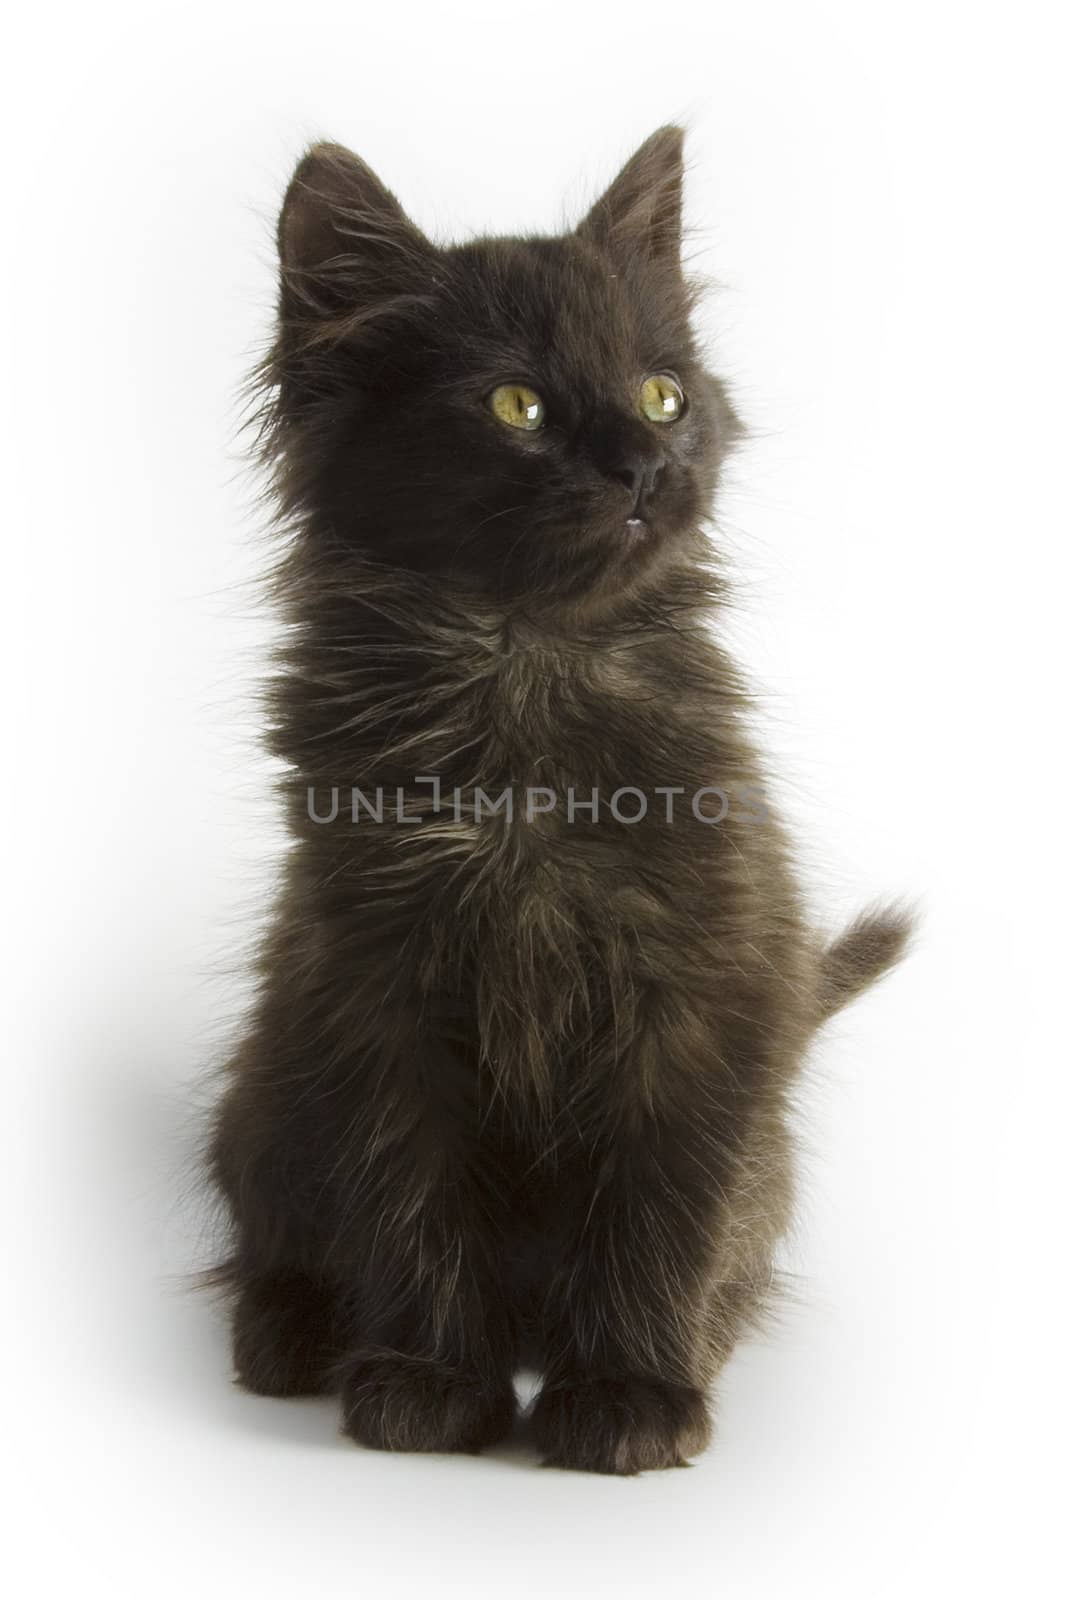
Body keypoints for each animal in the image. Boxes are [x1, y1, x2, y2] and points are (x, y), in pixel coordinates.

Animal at [207, 128, 908, 1472]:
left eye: (662, 394)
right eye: (515, 406)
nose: (646, 466)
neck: (522, 669)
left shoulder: (704, 988)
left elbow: (661, 1204)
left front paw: (630, 1393)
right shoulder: (376, 986)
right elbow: (409, 1191)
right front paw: (430, 1379)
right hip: (265, 1085)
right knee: (267, 1233)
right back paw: (289, 1335)